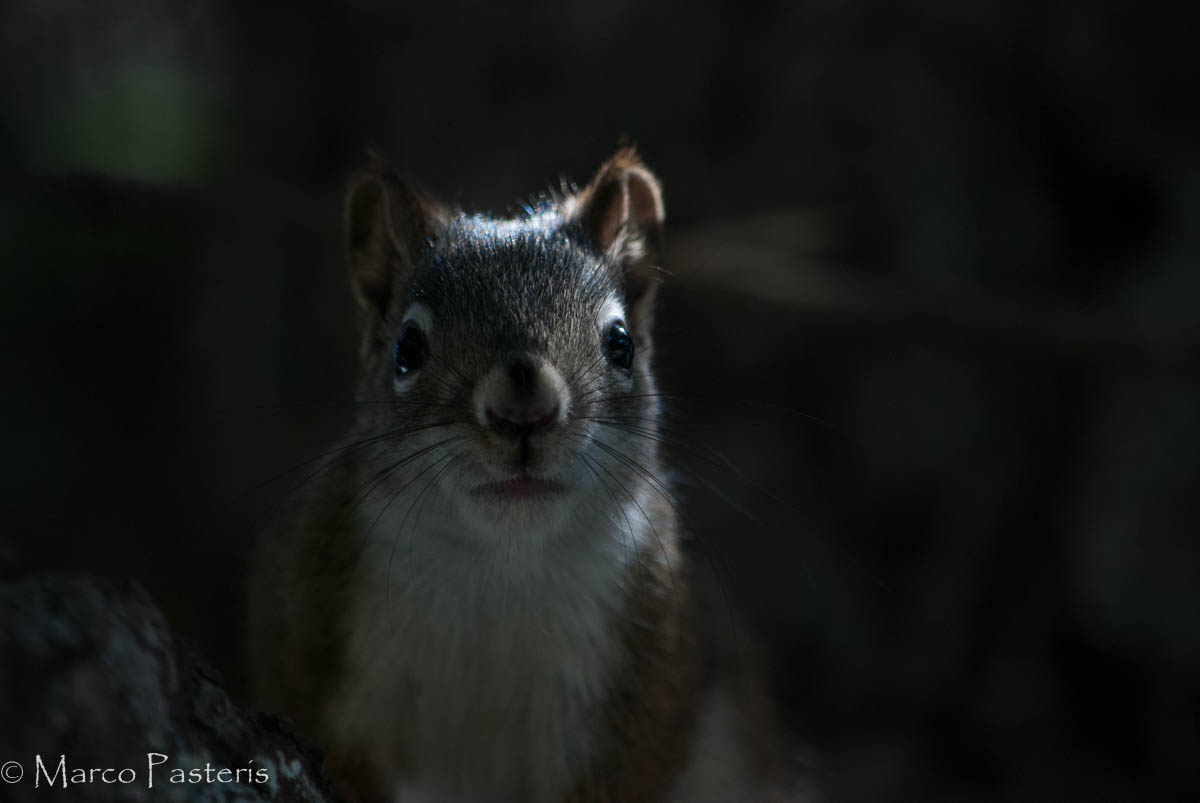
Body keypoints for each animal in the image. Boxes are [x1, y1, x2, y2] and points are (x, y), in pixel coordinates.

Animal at [246, 149, 791, 803]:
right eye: (406, 348)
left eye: (621, 344)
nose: (524, 412)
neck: (500, 562)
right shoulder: (315, 636)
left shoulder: (641, 684)